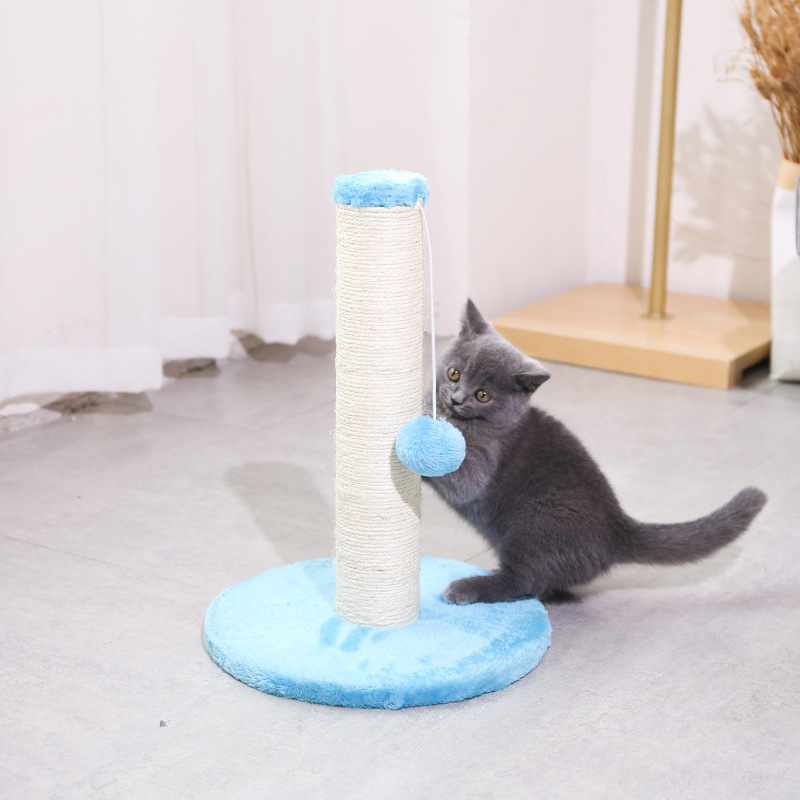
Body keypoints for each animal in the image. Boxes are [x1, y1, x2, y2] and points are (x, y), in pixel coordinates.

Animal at [426, 299, 768, 605]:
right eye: (454, 373)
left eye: (483, 395)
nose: (456, 399)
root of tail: (618, 528)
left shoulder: (488, 458)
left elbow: (463, 478)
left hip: (538, 520)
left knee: (524, 582)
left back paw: (467, 588)